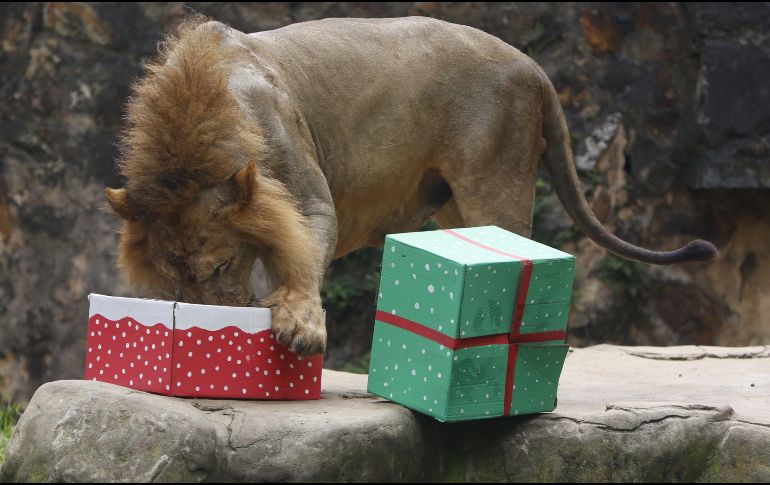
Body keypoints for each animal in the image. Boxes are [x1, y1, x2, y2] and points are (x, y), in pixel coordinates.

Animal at [105, 17, 717, 356]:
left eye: (220, 267)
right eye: (174, 278)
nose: (210, 320)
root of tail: (532, 66)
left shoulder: (310, 198)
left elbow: (301, 262)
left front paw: (301, 326)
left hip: (494, 182)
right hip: (455, 208)